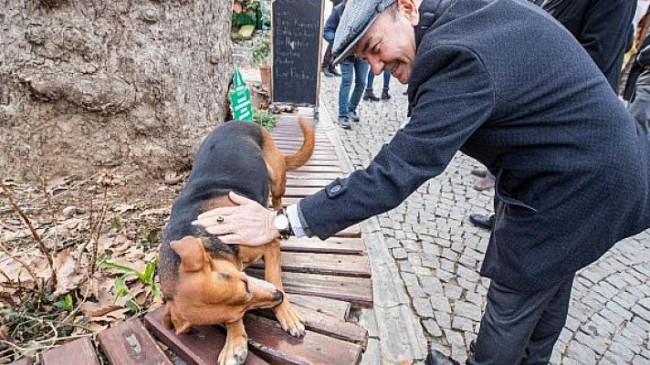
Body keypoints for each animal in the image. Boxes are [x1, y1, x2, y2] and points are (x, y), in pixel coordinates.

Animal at [158, 118, 312, 362]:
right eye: (240, 311)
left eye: (246, 284)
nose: (278, 298)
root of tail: (238, 121)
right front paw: (235, 339)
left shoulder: (268, 245)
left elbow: (274, 277)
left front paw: (286, 312)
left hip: (277, 177)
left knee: (277, 199)